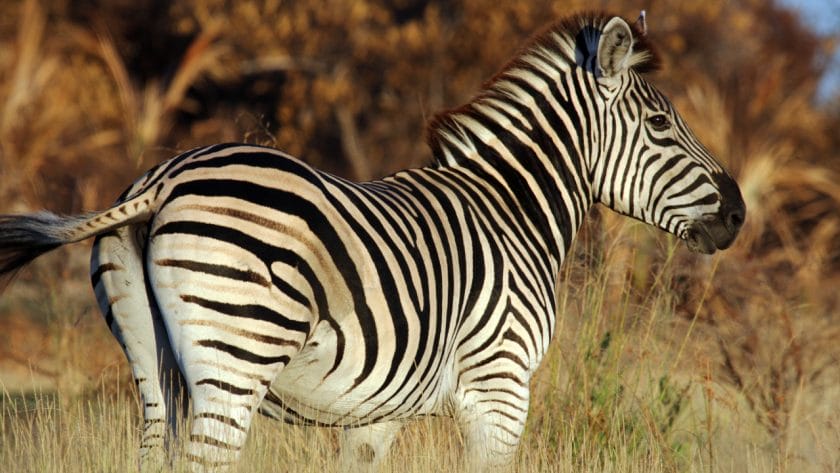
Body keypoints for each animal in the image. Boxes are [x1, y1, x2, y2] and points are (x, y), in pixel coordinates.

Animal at [0, 10, 744, 468]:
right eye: (660, 123)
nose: (738, 211)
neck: (513, 210)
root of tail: (164, 178)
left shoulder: (374, 414)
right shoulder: (501, 387)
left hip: (154, 366)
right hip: (236, 360)